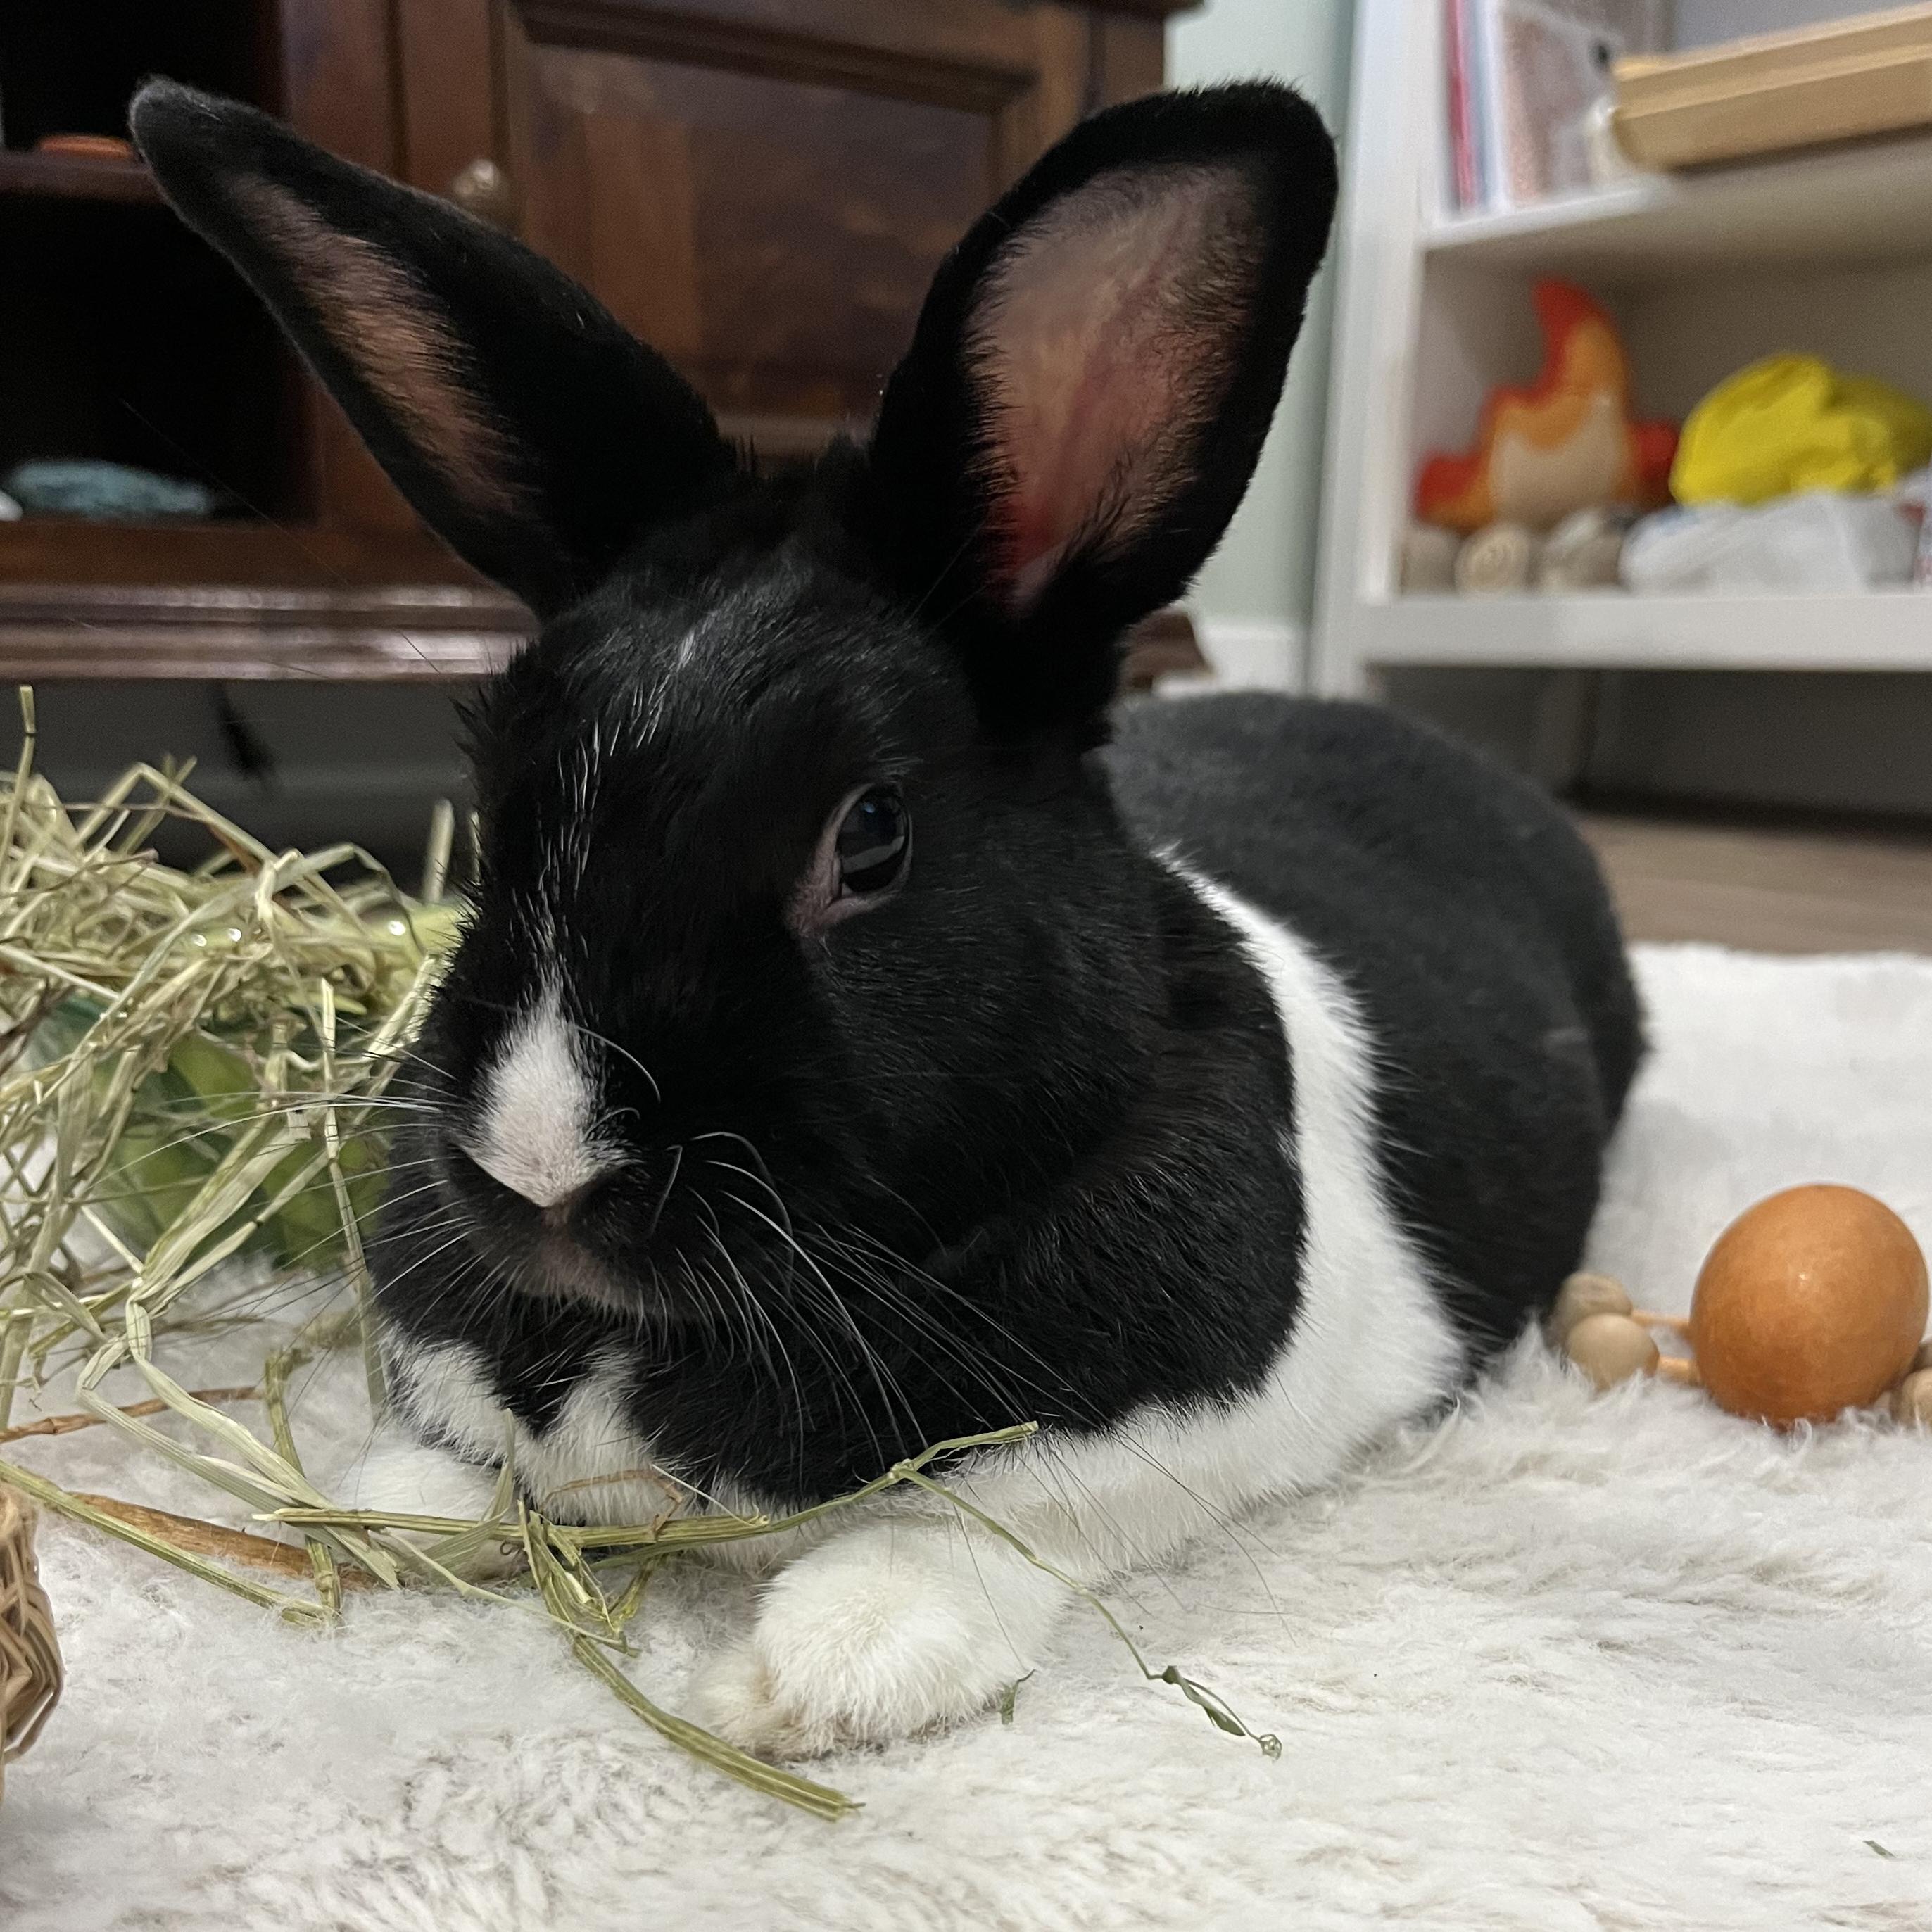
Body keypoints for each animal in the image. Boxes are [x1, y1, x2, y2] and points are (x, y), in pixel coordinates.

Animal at [132, 76, 1641, 1760]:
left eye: (869, 835)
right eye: (494, 799)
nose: (542, 1173)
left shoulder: (1202, 1424)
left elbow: (997, 1516)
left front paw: (815, 1673)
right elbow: (449, 1455)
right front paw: (390, 1508)